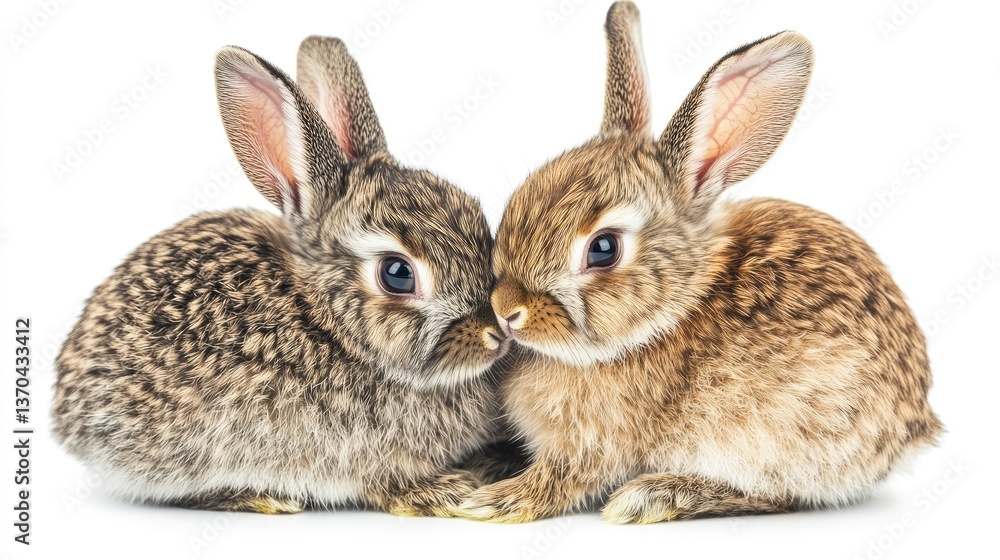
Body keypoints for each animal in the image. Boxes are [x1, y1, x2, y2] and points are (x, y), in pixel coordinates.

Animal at [458, 2, 942, 524]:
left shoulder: (595, 445)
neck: (669, 314)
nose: (507, 310)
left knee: (777, 495)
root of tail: (914, 424)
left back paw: (654, 496)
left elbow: (563, 479)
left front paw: (489, 501)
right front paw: (484, 467)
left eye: (603, 248)